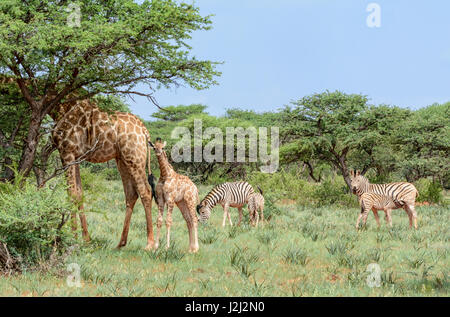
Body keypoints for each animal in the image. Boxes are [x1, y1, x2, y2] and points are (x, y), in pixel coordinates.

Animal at [50, 96, 156, 249]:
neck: (61, 107)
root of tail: (145, 131)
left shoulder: (67, 152)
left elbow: (71, 193)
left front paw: (72, 238)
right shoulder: (76, 157)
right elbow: (79, 193)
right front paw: (86, 239)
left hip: (134, 157)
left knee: (145, 191)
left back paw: (150, 243)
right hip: (122, 159)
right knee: (131, 193)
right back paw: (121, 243)